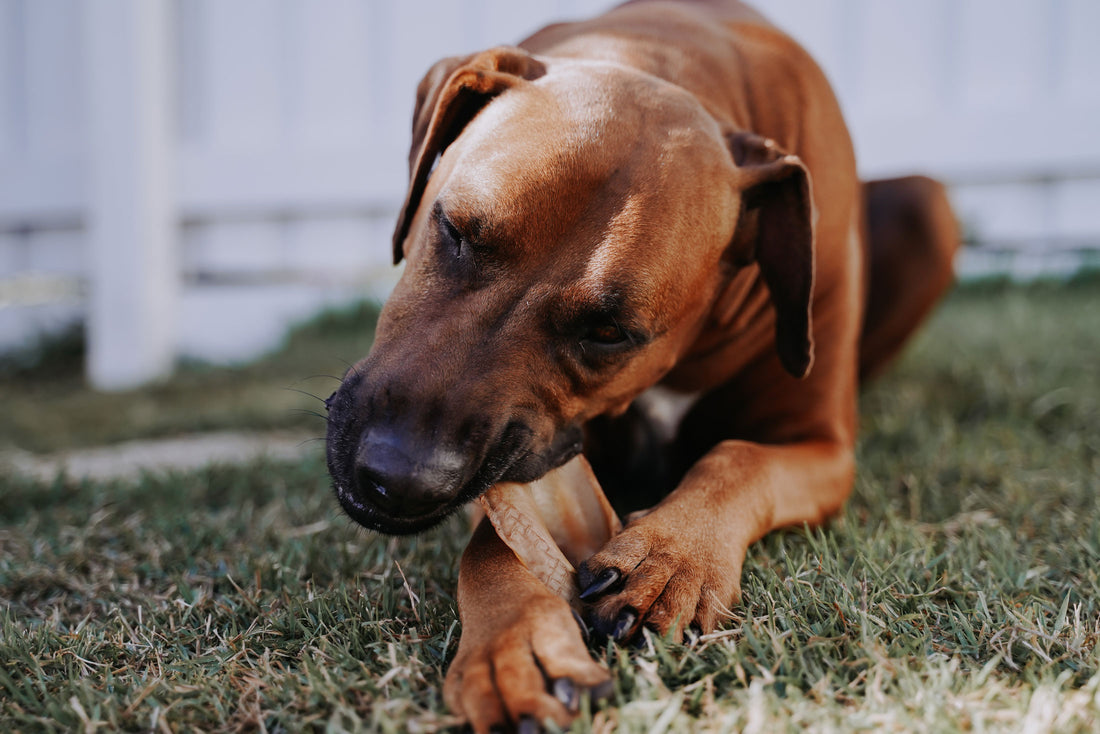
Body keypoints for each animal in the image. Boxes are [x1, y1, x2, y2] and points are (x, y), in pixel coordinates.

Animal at [321, 2, 959, 730]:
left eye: (609, 333)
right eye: (454, 230)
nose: (398, 478)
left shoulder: (822, 448)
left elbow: (739, 457)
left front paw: (670, 556)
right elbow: (495, 539)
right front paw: (515, 644)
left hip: (930, 205)